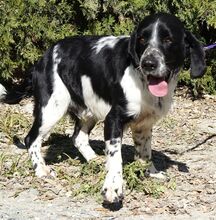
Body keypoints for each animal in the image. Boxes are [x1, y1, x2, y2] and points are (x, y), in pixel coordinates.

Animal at [0, 12, 206, 204]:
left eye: (168, 39)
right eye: (142, 39)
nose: (148, 63)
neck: (141, 82)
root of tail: (43, 58)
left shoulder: (144, 124)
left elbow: (145, 153)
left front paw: (151, 173)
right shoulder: (114, 119)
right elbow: (115, 157)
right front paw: (113, 187)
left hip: (88, 110)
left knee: (78, 138)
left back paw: (94, 160)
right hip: (52, 108)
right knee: (31, 138)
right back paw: (41, 169)